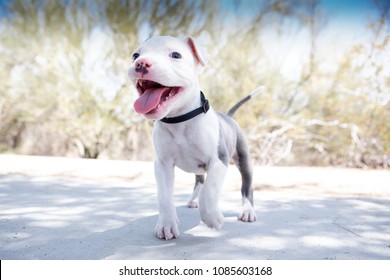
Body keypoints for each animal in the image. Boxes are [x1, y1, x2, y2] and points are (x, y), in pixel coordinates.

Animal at [128, 35, 258, 241]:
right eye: (135, 55)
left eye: (175, 55)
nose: (141, 63)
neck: (179, 120)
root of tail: (228, 116)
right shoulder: (162, 165)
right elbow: (165, 196)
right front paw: (166, 224)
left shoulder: (218, 160)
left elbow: (210, 190)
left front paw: (212, 217)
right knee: (199, 181)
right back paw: (193, 200)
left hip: (244, 160)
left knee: (246, 187)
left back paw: (247, 211)